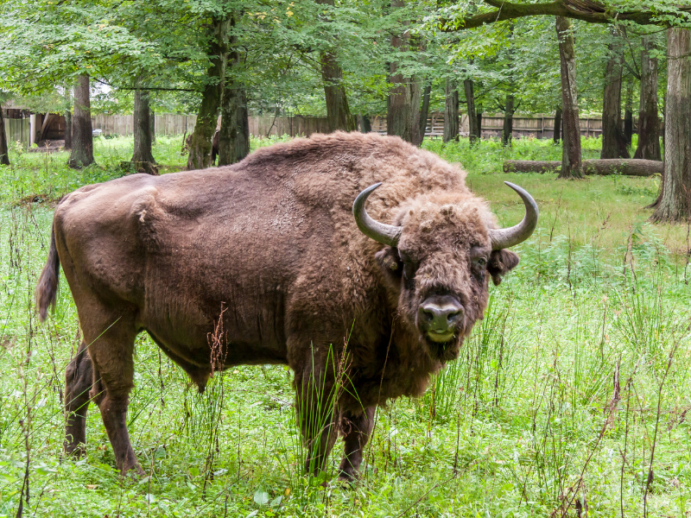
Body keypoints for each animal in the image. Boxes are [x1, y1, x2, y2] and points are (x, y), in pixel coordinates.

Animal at [35, 132, 536, 482]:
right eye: (407, 258)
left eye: (478, 259)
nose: (440, 313)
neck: (369, 249)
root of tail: (74, 198)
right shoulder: (318, 357)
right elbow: (321, 426)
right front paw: (311, 481)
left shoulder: (367, 370)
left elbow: (360, 427)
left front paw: (349, 484)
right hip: (110, 321)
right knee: (111, 395)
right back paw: (134, 473)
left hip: (106, 325)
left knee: (77, 379)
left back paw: (74, 457)